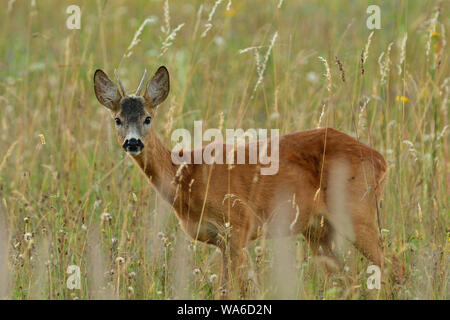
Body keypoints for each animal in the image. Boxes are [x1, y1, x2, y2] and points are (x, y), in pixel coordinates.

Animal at [94, 65, 386, 292]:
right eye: (117, 119)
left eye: (148, 118)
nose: (133, 142)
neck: (189, 177)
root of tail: (381, 160)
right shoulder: (221, 240)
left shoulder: (239, 224)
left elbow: (234, 289)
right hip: (318, 229)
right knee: (342, 281)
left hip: (357, 211)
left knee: (388, 265)